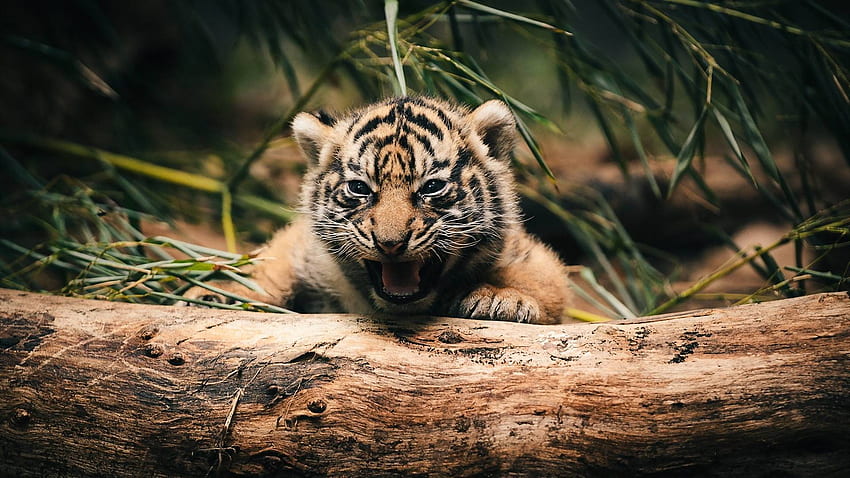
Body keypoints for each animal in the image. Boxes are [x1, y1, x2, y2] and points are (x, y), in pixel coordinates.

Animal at [186, 96, 572, 324]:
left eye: (431, 187)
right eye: (359, 189)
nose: (390, 243)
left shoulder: (528, 253)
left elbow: (544, 279)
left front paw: (499, 299)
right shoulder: (302, 246)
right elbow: (270, 263)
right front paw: (218, 292)